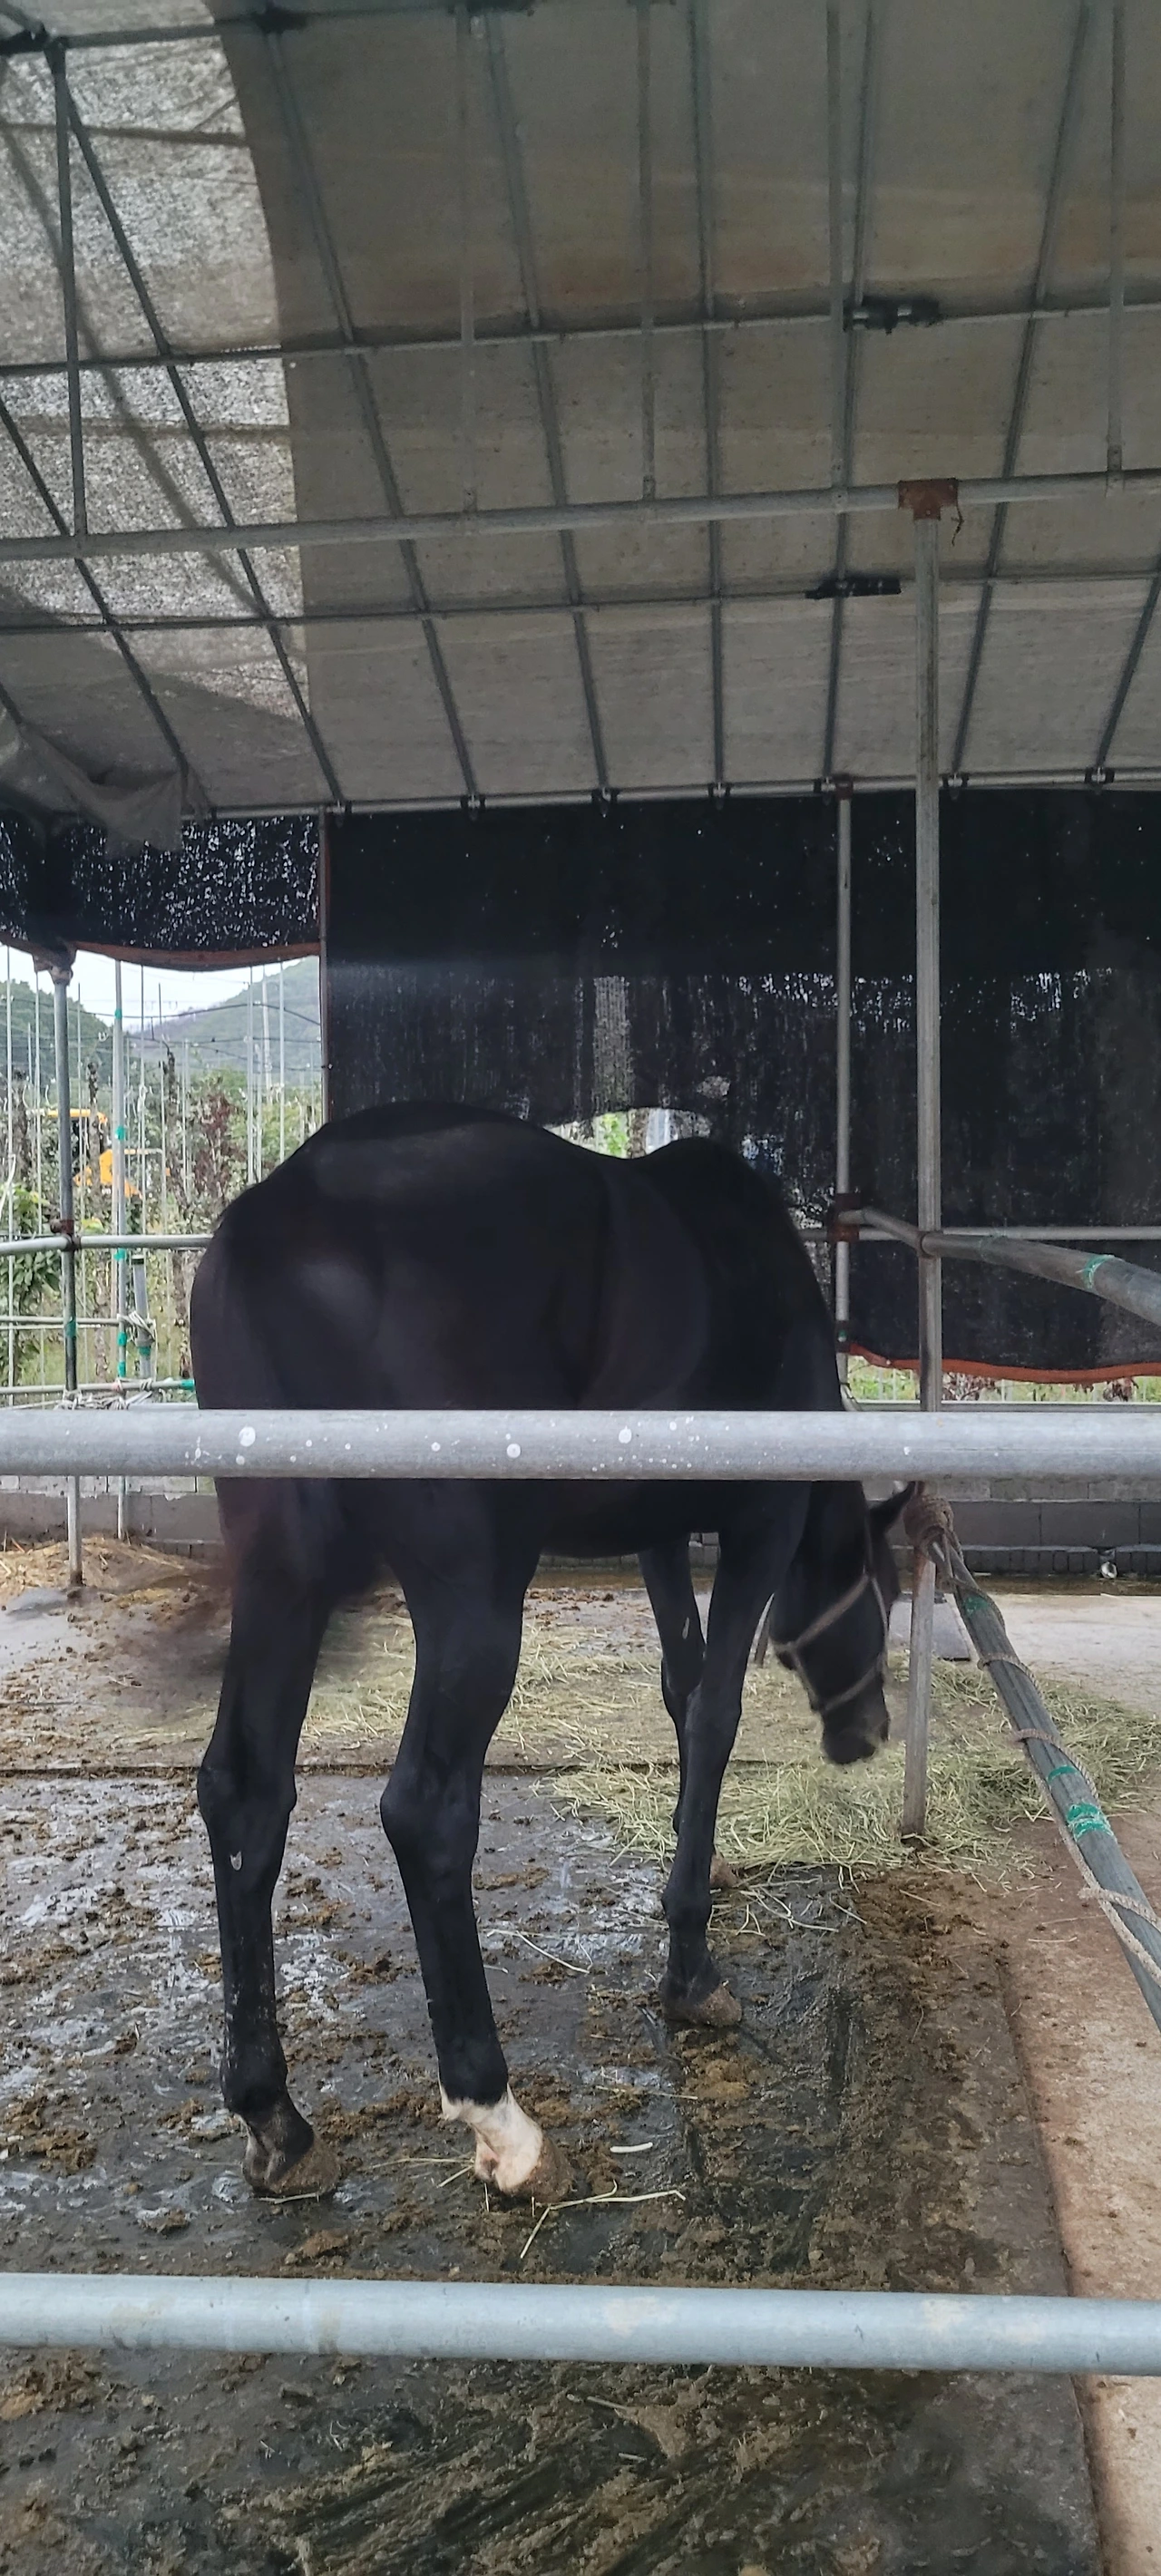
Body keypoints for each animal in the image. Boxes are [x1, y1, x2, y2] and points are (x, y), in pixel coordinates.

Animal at [189, 1105, 906, 2206]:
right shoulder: (758, 1524)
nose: (866, 1730)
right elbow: (715, 1710)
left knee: (245, 1794)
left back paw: (275, 2115)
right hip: (469, 1597)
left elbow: (679, 1685)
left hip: (281, 1573)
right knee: (425, 1812)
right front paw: (691, 1969)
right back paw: (502, 2120)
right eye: (887, 1592)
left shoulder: (659, 1529)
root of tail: (278, 1215)